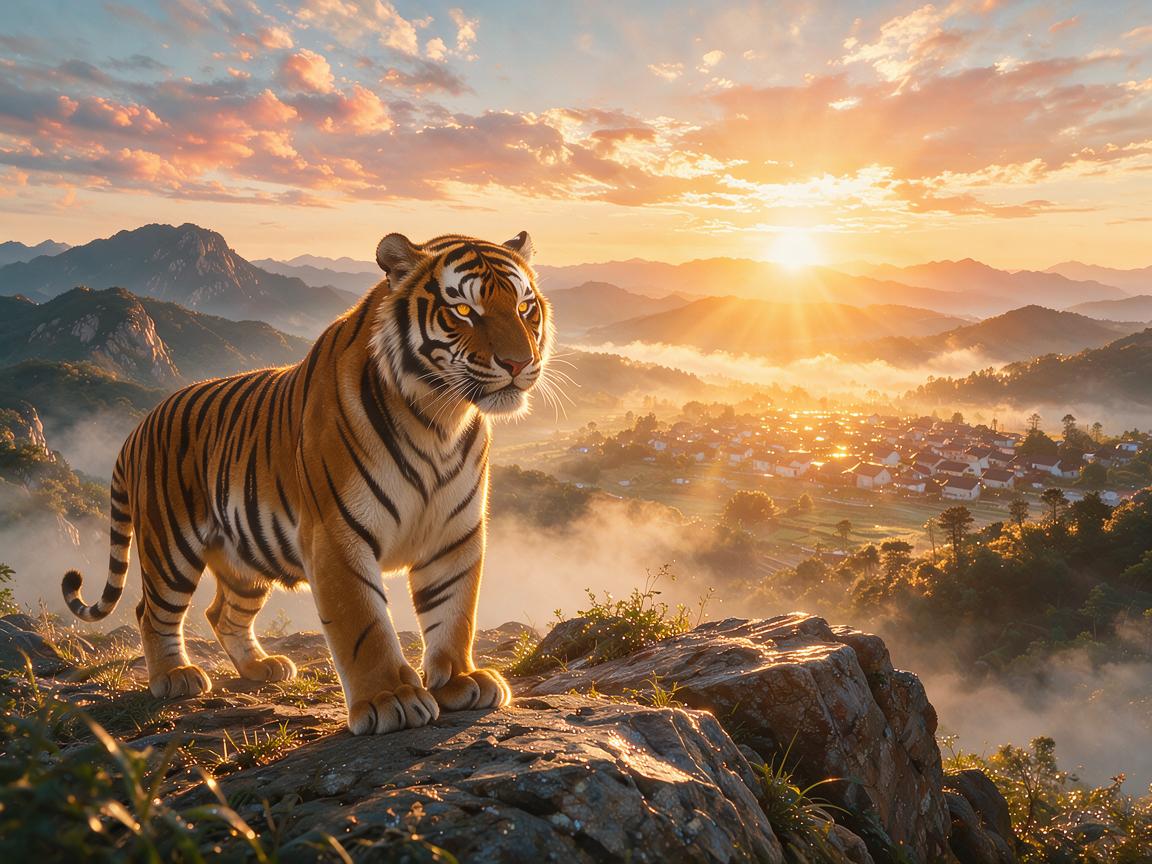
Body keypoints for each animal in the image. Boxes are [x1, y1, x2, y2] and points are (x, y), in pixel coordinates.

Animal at [61, 230, 551, 735]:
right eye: (464, 310)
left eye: (525, 307)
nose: (519, 363)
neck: (440, 418)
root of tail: (139, 425)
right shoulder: (336, 533)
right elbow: (363, 623)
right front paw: (388, 699)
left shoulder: (455, 532)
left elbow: (453, 610)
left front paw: (460, 679)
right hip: (170, 544)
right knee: (152, 610)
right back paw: (175, 676)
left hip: (246, 555)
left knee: (222, 613)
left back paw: (261, 667)